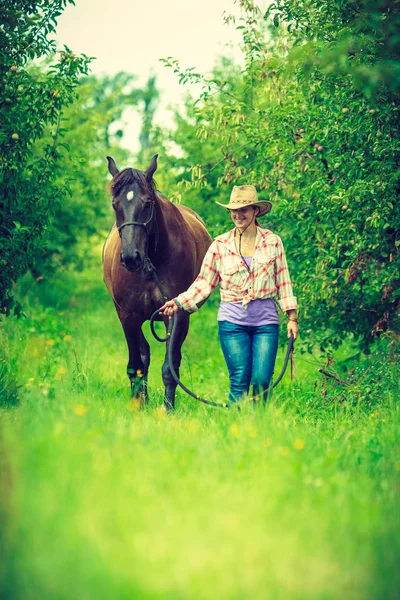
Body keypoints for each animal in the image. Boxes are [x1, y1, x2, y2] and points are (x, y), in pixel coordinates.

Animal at [103, 152, 212, 410]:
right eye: (115, 205)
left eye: (147, 204)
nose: (130, 257)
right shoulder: (127, 316)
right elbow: (136, 363)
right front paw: (137, 403)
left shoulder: (176, 313)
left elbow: (170, 368)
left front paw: (167, 409)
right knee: (144, 354)